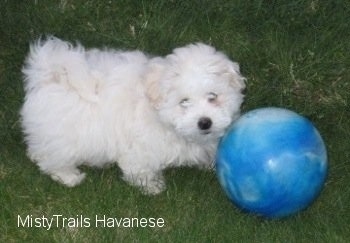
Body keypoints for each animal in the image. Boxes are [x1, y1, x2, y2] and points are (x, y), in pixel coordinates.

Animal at [21, 37, 246, 195]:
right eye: (184, 102)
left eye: (213, 97)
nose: (204, 122)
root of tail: (50, 74)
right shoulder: (141, 148)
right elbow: (140, 169)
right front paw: (152, 187)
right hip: (63, 136)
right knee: (53, 159)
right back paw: (69, 176)